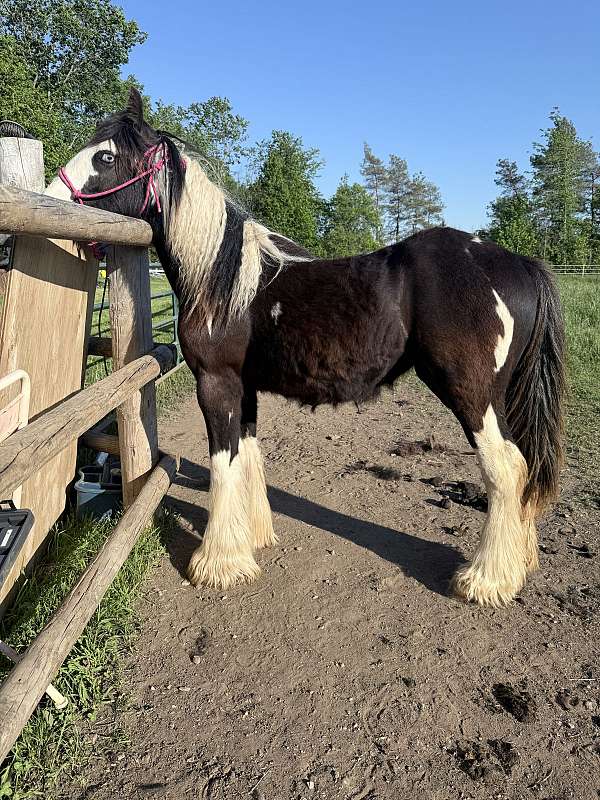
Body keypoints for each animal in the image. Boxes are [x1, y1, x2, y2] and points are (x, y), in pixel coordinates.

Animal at [45, 89, 565, 607]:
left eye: (105, 156)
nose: (52, 201)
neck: (222, 279)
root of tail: (518, 263)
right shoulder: (244, 388)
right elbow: (247, 456)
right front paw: (252, 539)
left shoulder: (215, 384)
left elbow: (222, 463)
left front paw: (217, 564)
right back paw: (517, 563)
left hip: (471, 394)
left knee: (506, 468)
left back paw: (486, 579)